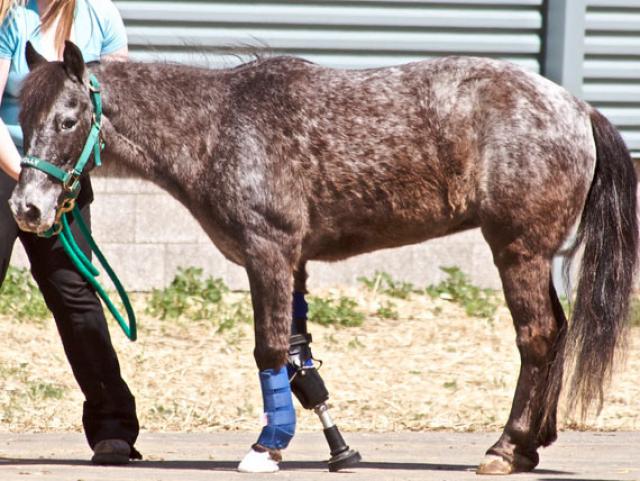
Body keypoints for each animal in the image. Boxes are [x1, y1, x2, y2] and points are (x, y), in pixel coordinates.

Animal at [10, 40, 637, 475]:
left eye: (67, 120)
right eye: (22, 118)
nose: (27, 208)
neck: (219, 126)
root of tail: (577, 107)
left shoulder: (268, 253)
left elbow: (267, 348)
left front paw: (267, 449)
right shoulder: (294, 264)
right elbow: (297, 355)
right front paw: (335, 450)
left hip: (518, 251)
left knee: (538, 337)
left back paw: (507, 448)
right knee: (556, 332)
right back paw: (531, 445)